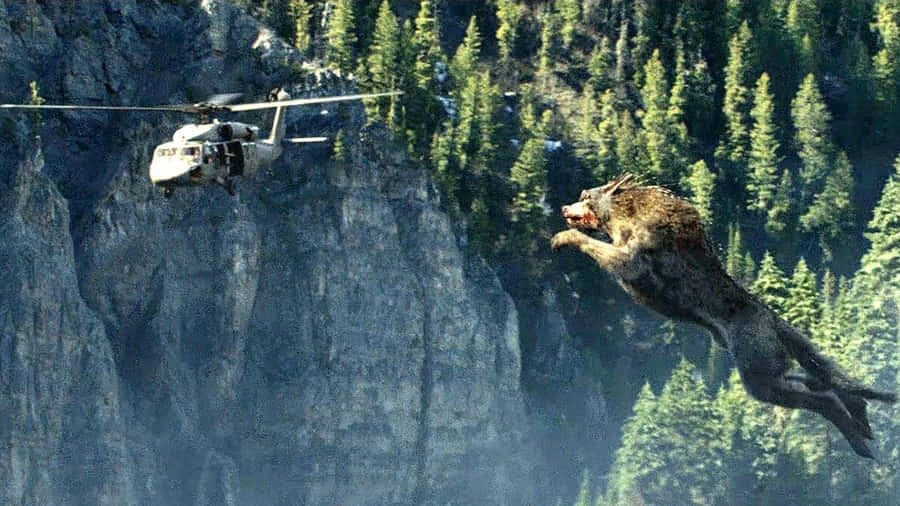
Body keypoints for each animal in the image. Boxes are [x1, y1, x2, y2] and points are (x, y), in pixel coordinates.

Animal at [550, 173, 896, 458]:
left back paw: (858, 439)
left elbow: (586, 241)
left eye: (585, 194)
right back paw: (861, 418)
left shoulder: (630, 263)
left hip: (759, 378)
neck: (625, 214)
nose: (564, 206)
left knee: (823, 398)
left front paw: (560, 238)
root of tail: (772, 318)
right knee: (821, 381)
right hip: (768, 368)